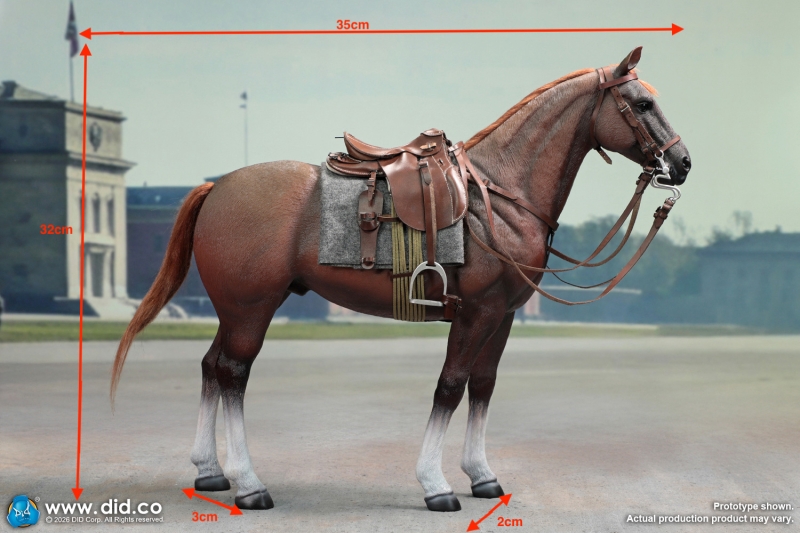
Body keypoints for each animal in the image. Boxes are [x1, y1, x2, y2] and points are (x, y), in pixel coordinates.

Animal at [111, 47, 691, 512]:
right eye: (642, 104)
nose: (683, 162)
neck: (500, 196)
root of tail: (217, 186)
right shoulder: (476, 312)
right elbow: (450, 386)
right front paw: (436, 484)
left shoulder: (503, 316)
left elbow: (483, 386)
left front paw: (483, 476)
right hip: (252, 309)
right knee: (233, 374)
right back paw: (249, 485)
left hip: (232, 310)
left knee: (211, 368)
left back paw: (210, 472)